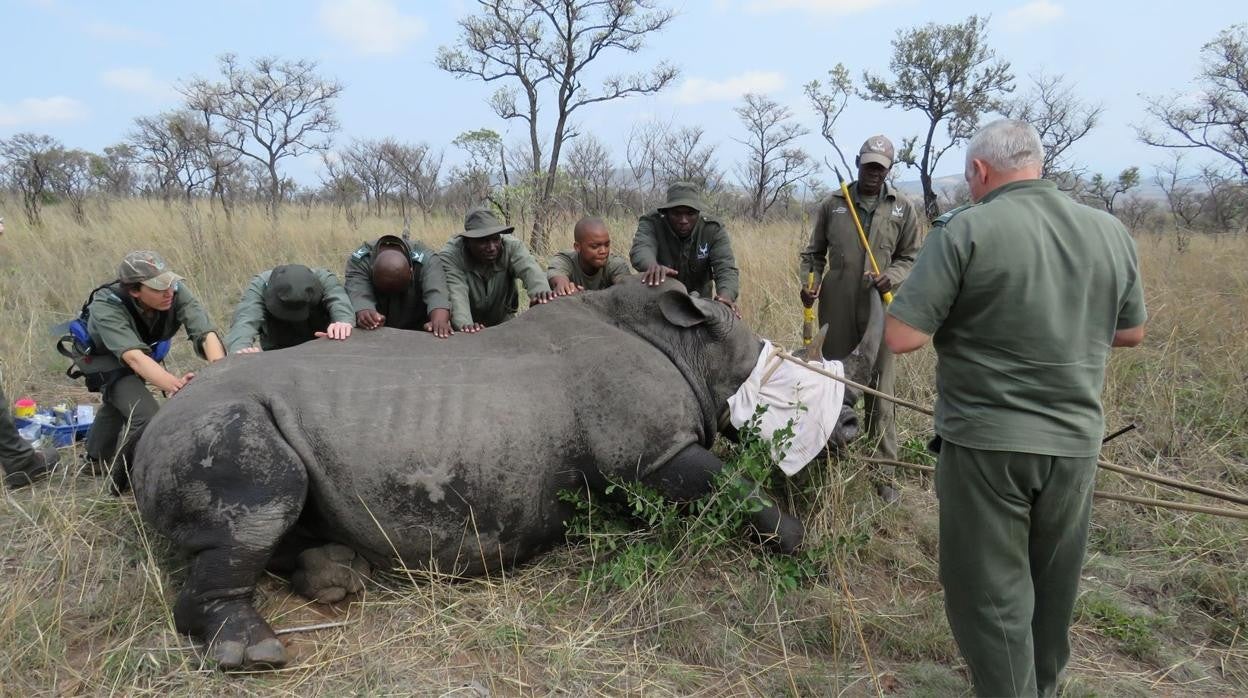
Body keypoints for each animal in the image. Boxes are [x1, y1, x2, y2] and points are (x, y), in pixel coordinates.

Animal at [131, 275, 883, 669]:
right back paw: (256, 652)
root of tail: (147, 431)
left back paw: (337, 575)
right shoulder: (653, 454)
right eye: (781, 369)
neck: (687, 343)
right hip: (214, 421)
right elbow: (740, 495)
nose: (850, 427)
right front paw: (809, 546)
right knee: (262, 502)